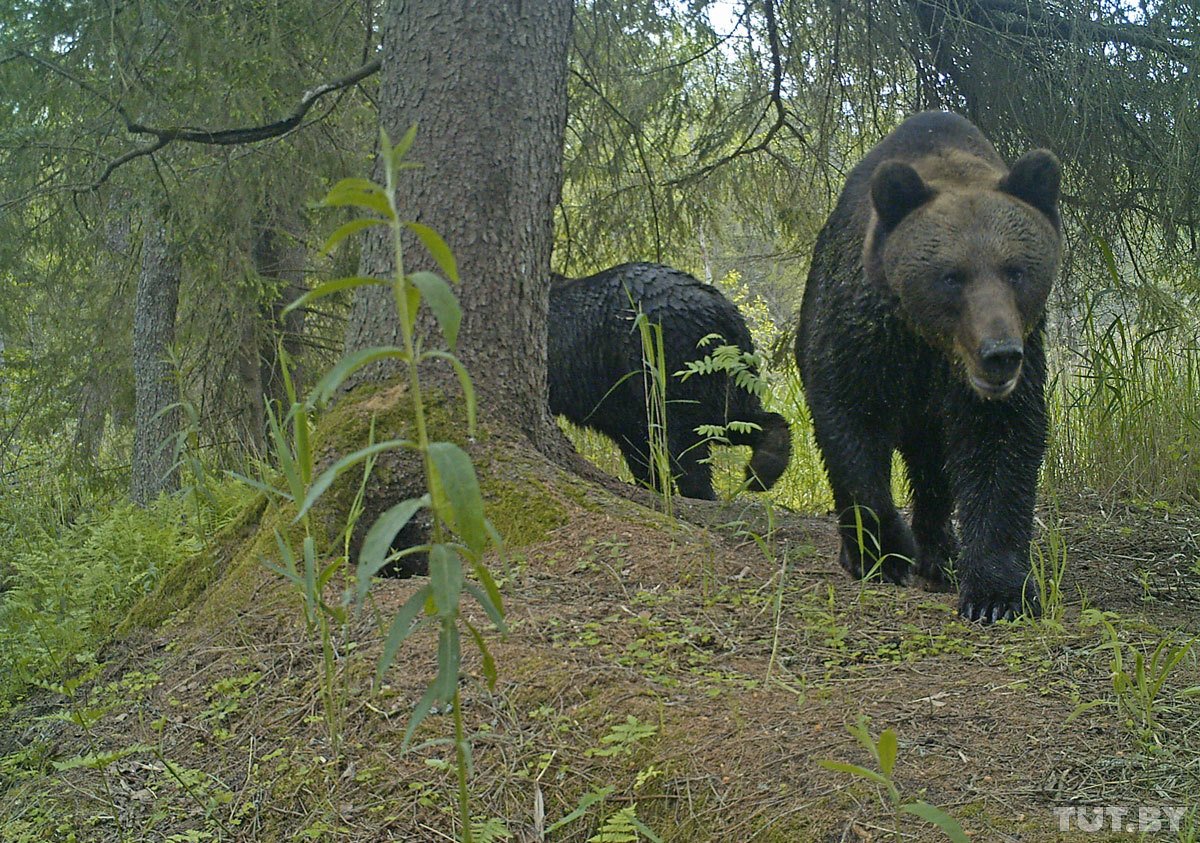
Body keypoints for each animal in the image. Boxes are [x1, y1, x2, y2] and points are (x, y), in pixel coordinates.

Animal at [549, 262, 792, 501]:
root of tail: (720, 311)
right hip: (721, 374)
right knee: (730, 419)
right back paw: (764, 467)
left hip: (668, 365)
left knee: (686, 442)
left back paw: (703, 492)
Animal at [796, 110, 1060, 629]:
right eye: (951, 276)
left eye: (1016, 270)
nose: (1000, 354)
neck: (932, 344)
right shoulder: (864, 336)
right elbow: (849, 423)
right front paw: (879, 552)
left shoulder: (1003, 372)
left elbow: (1000, 446)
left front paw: (998, 593)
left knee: (934, 471)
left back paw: (941, 553)